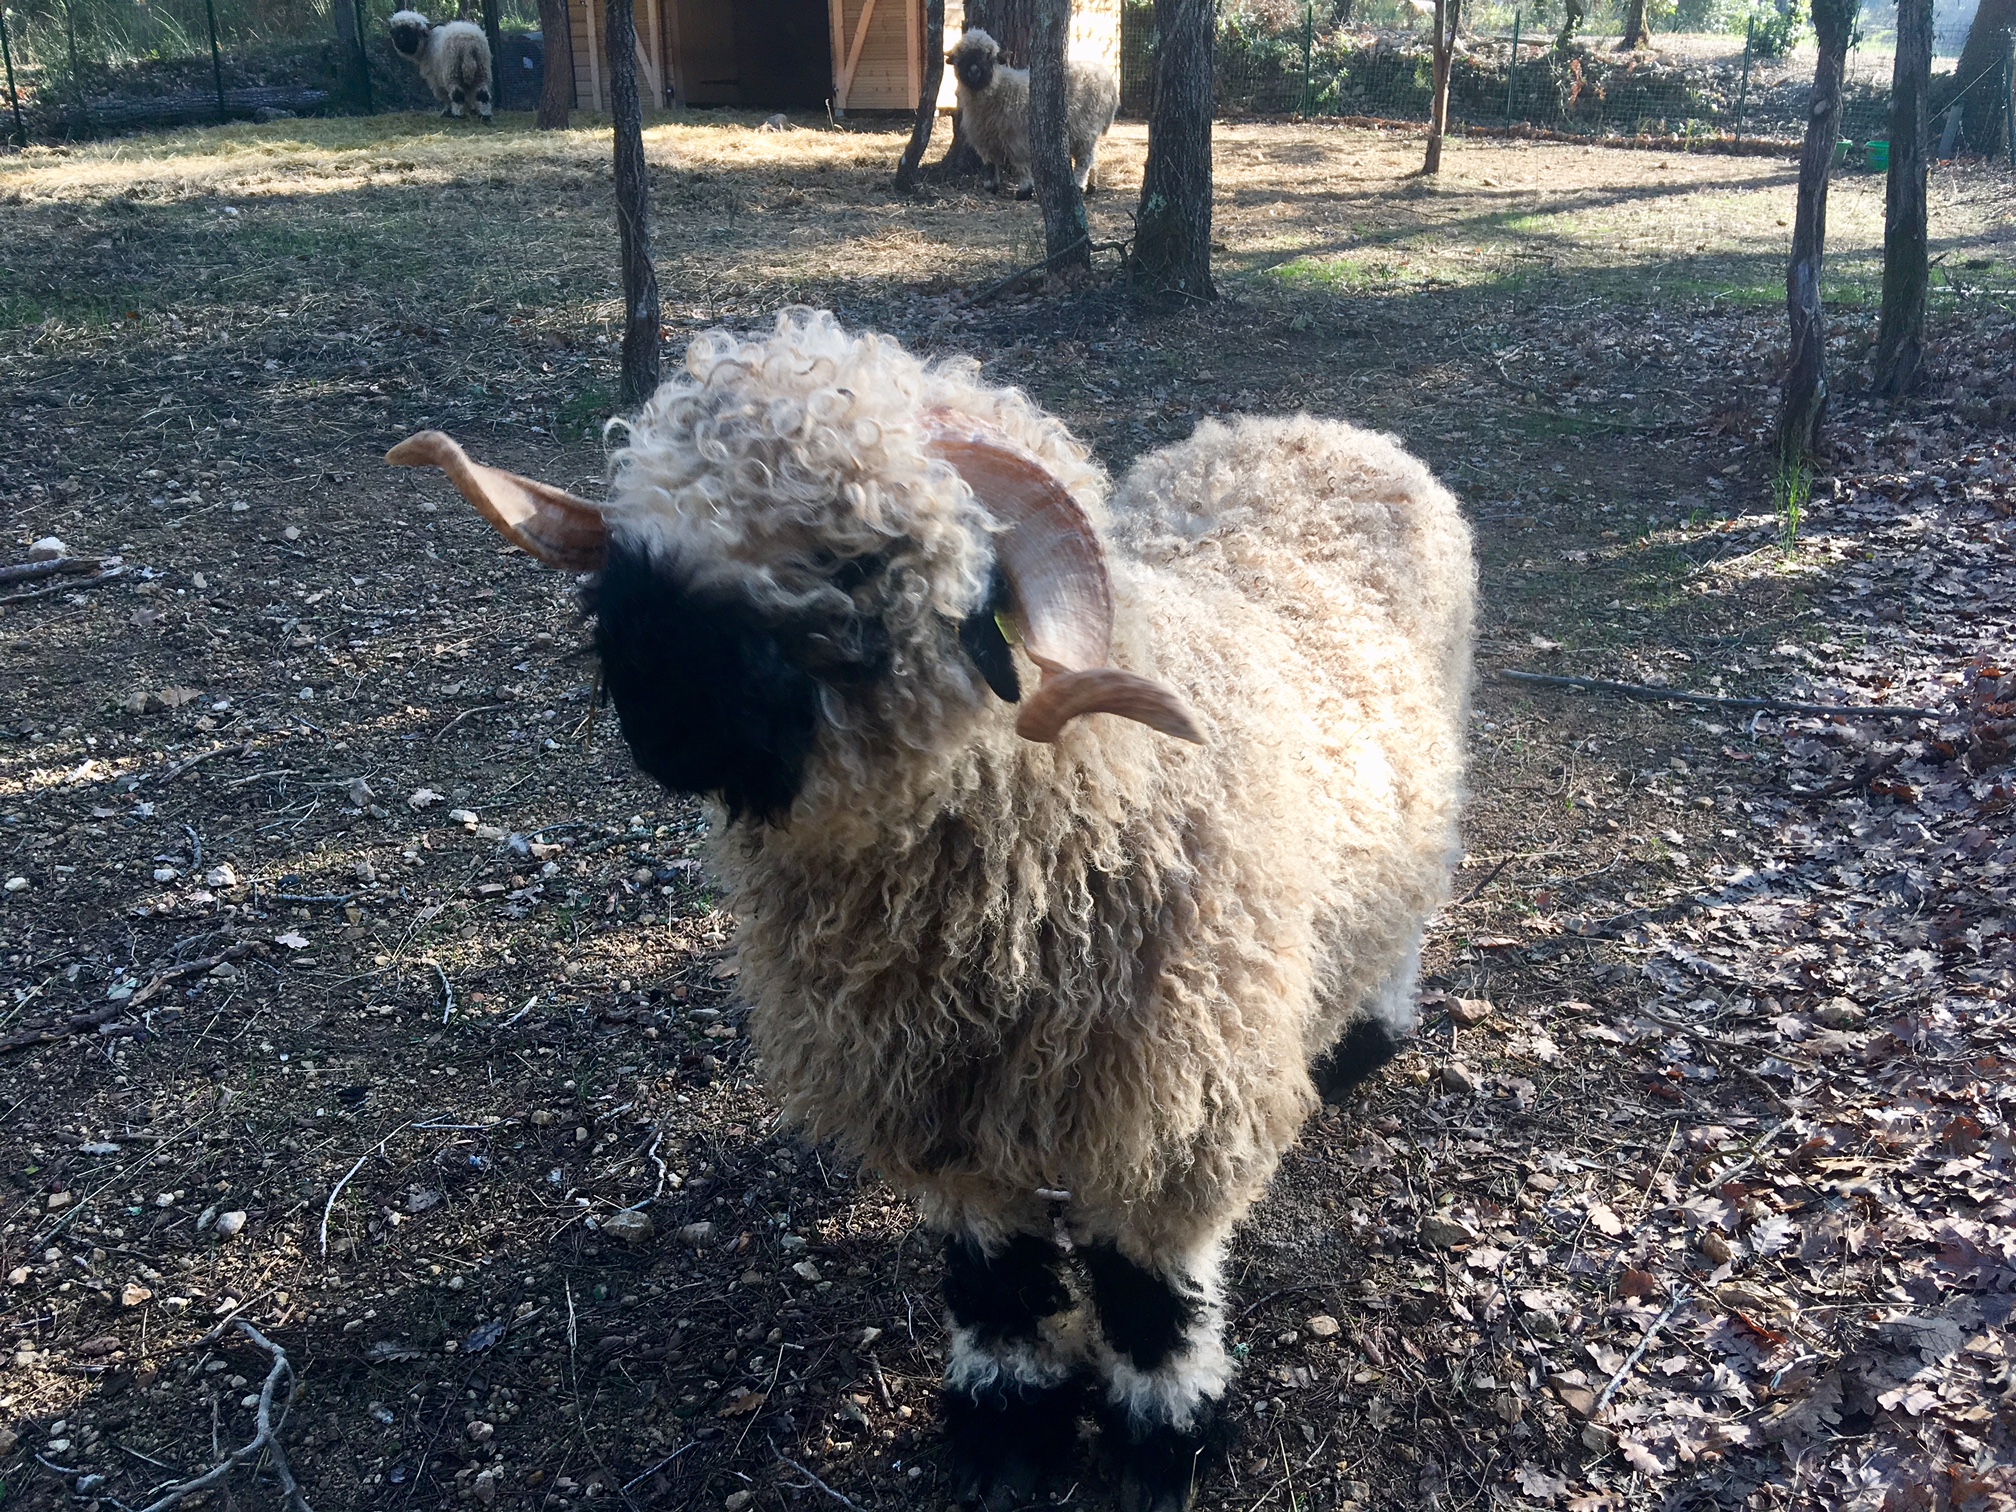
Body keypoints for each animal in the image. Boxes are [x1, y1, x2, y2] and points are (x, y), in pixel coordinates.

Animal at [388, 308, 1475, 1512]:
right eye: (637, 530)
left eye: (859, 558)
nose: (653, 702)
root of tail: (1316, 428)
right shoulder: (935, 1099)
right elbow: (993, 1275)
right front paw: (1008, 1420)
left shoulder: (1174, 1108)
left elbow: (1150, 1293)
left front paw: (1164, 1437)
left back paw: (1368, 1033)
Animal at [949, 27, 1119, 197]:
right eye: (962, 55)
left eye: (988, 56)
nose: (974, 70)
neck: (998, 89)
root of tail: (1108, 80)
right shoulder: (984, 138)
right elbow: (990, 164)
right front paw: (990, 186)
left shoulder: (1017, 138)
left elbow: (1020, 164)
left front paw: (1024, 191)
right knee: (1093, 157)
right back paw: (1091, 185)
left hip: (1086, 128)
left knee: (1084, 159)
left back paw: (1079, 184)